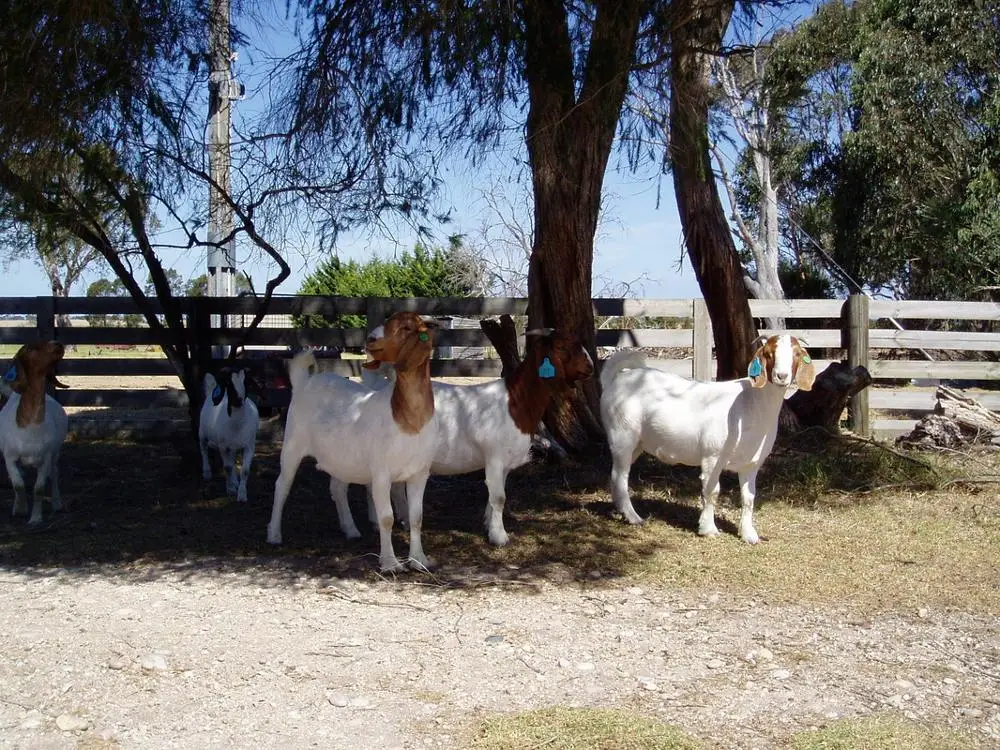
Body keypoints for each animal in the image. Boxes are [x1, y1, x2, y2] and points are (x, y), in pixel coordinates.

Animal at [0, 342, 70, 525]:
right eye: (29, 349)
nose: (58, 345)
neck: (30, 426)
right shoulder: (9, 457)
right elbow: (18, 484)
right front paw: (20, 509)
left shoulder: (45, 458)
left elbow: (39, 489)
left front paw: (36, 518)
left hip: (55, 454)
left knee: (54, 473)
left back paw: (57, 504)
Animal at [199, 367, 260, 503]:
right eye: (228, 383)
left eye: (247, 382)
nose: (238, 400)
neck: (237, 424)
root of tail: (211, 389)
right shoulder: (223, 446)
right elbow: (227, 467)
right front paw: (231, 489)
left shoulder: (249, 446)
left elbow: (244, 471)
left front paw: (242, 494)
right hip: (202, 433)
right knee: (204, 450)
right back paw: (207, 472)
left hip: (233, 446)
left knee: (232, 460)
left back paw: (235, 482)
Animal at [266, 312, 439, 572]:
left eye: (407, 327)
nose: (371, 339)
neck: (406, 418)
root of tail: (304, 382)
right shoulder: (381, 472)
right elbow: (386, 518)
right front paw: (390, 564)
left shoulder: (420, 472)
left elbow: (416, 517)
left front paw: (419, 560)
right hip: (292, 445)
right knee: (281, 486)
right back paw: (274, 535)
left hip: (341, 458)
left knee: (337, 489)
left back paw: (350, 529)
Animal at [331, 328, 595, 546]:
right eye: (562, 347)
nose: (591, 366)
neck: (515, 402)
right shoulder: (495, 455)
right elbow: (499, 497)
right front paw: (499, 537)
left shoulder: (504, 460)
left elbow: (495, 495)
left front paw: (489, 524)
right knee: (340, 487)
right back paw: (351, 529)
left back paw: (384, 522)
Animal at [600, 334, 815, 543]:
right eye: (769, 354)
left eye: (796, 354)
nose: (782, 376)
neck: (751, 404)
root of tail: (618, 377)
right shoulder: (713, 456)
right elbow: (712, 491)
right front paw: (708, 529)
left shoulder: (752, 463)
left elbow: (748, 497)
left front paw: (749, 535)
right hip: (622, 435)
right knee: (620, 476)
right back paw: (633, 517)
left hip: (637, 443)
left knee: (615, 476)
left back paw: (621, 511)